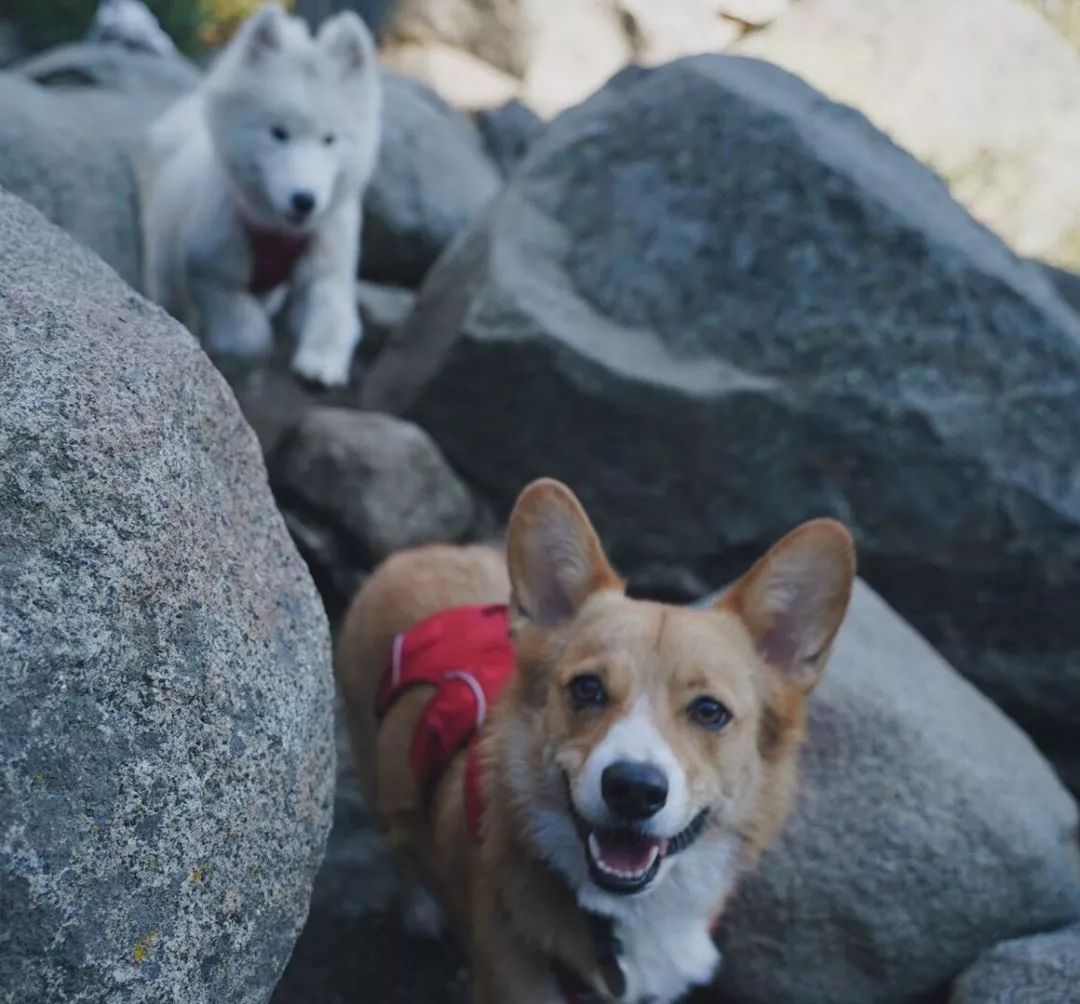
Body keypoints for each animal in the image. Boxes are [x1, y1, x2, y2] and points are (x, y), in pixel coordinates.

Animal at [139, 1, 382, 386]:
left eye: (329, 139)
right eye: (278, 133)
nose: (304, 200)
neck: (278, 231)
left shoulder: (328, 261)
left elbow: (334, 312)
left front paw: (322, 363)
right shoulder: (210, 270)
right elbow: (247, 331)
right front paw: (242, 352)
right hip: (164, 257)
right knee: (172, 294)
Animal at [332, 479, 855, 1001]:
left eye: (709, 711)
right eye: (587, 688)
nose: (634, 790)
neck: (624, 915)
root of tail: (416, 554)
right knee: (399, 838)